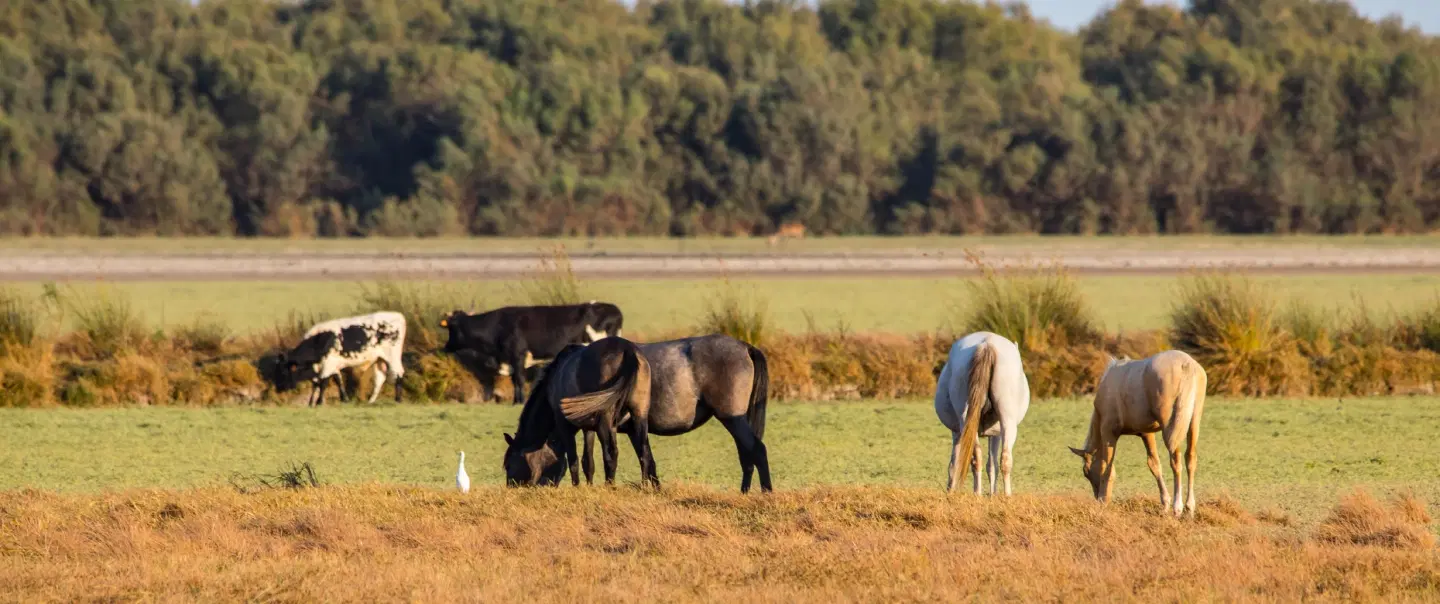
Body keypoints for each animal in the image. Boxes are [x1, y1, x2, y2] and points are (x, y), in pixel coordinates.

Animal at [269, 311, 408, 406]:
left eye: (282, 371)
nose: (279, 388)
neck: (319, 340)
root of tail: (397, 315)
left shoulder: (328, 364)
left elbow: (323, 382)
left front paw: (318, 402)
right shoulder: (332, 365)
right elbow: (336, 381)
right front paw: (343, 399)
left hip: (392, 356)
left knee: (398, 373)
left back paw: (398, 399)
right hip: (380, 360)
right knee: (380, 379)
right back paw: (371, 401)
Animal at [439, 301, 623, 404]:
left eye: (452, 328)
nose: (445, 347)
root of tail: (612, 309)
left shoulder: (518, 356)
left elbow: (519, 380)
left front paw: (519, 401)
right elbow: (515, 380)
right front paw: (516, 400)